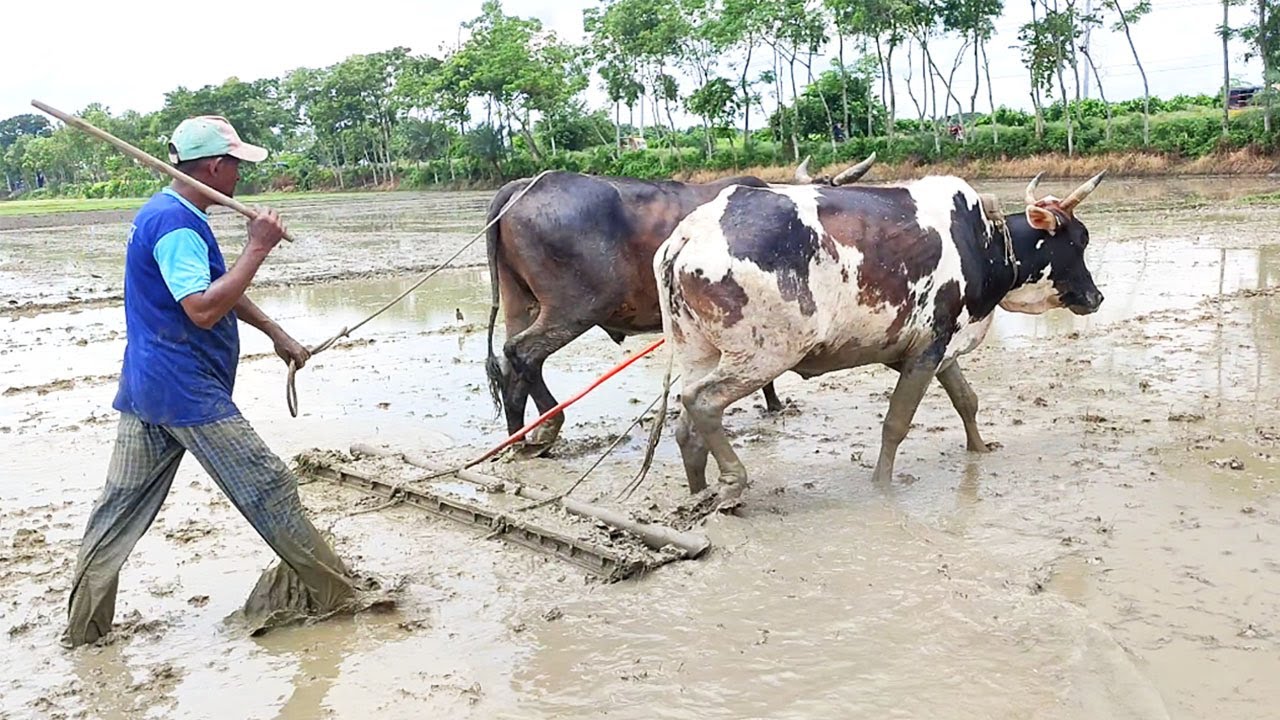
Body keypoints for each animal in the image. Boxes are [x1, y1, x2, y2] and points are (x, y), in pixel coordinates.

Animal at [482, 154, 878, 454]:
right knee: (523, 353)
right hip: (574, 308)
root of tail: (523, 186)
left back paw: (518, 441)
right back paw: (549, 426)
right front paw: (774, 404)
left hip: (521, 304)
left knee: (510, 365)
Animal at [655, 171, 1107, 509]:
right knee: (701, 401)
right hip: (765, 354)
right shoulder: (927, 348)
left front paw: (979, 449)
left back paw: (698, 497)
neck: (987, 245)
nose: (1097, 297)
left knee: (686, 428)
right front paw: (883, 485)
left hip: (698, 351)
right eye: (1079, 240)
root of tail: (688, 236)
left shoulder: (934, 349)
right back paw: (733, 482)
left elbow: (967, 401)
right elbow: (896, 423)